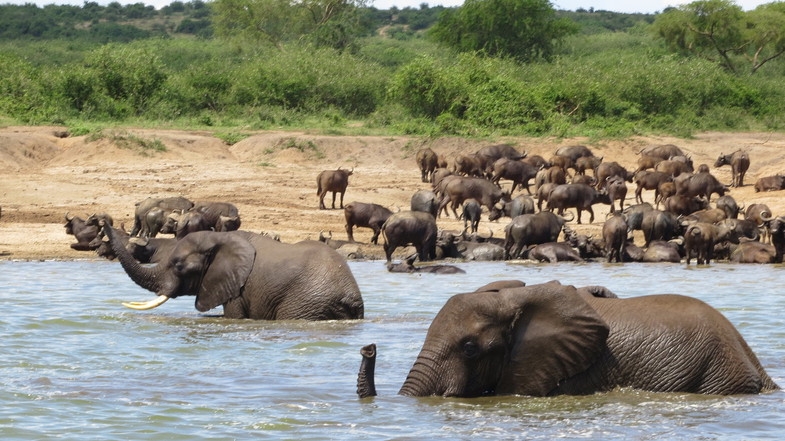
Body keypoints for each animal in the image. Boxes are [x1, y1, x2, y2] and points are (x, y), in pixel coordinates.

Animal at [100, 223, 364, 320]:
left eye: (178, 265)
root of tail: (350, 295)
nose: (103, 222)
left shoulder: (237, 288)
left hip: (305, 303)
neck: (219, 238)